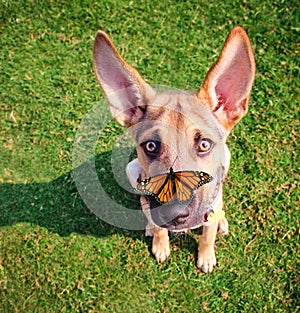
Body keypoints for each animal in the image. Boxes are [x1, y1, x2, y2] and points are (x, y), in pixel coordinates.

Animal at [92, 26, 254, 270]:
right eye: (150, 146)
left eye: (204, 144)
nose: (174, 214)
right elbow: (159, 227)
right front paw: (160, 245)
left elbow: (207, 237)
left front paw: (206, 257)